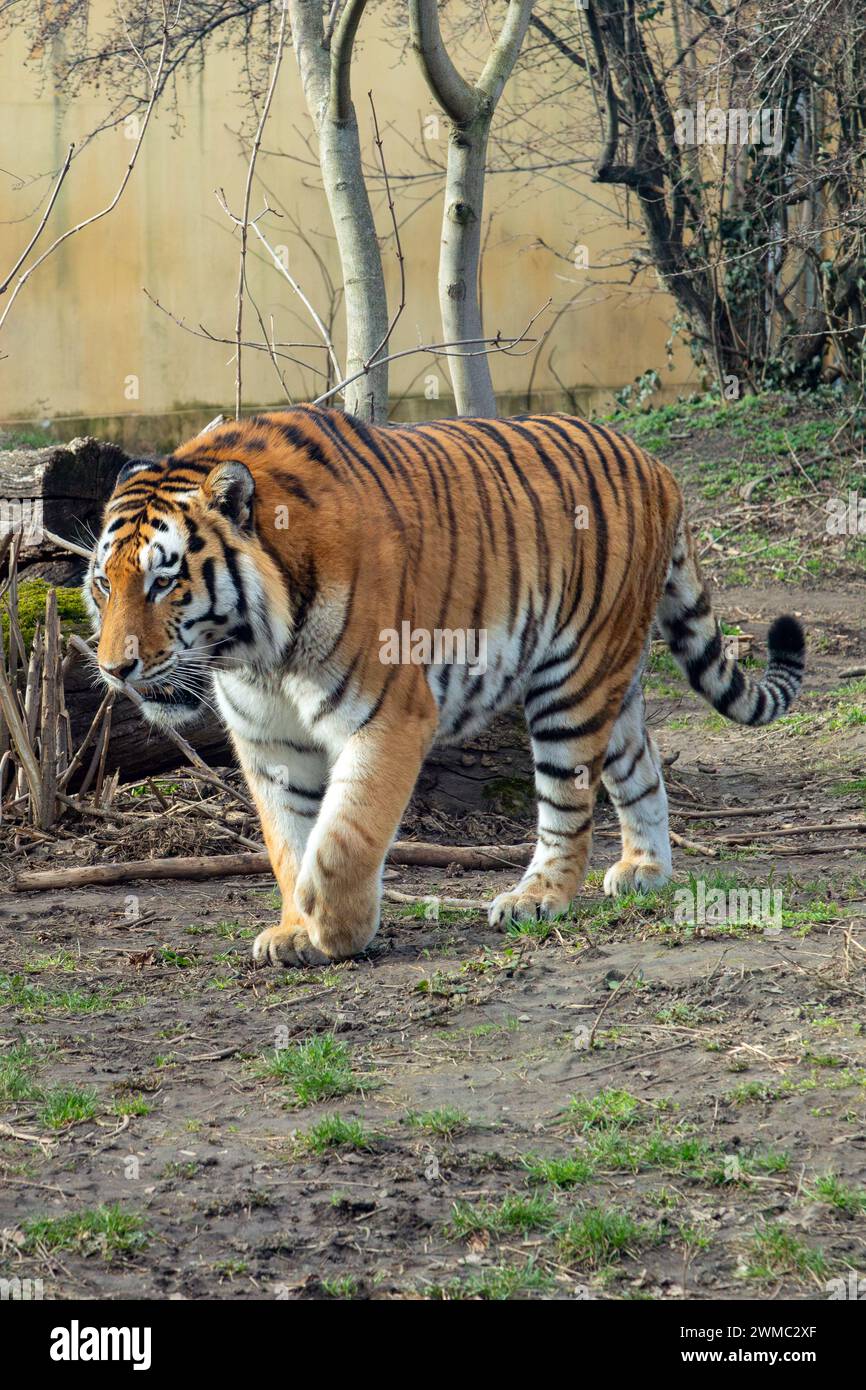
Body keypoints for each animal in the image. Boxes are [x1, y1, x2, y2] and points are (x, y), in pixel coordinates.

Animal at [85, 405, 805, 966]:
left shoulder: (389, 715)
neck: (257, 652)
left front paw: (334, 925)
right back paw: (646, 870)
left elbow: (344, 834)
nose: (115, 669)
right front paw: (296, 930)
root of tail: (657, 466)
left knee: (569, 806)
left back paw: (536, 898)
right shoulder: (270, 743)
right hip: (612, 678)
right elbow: (287, 841)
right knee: (641, 764)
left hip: (572, 684)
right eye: (102, 585)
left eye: (163, 582)